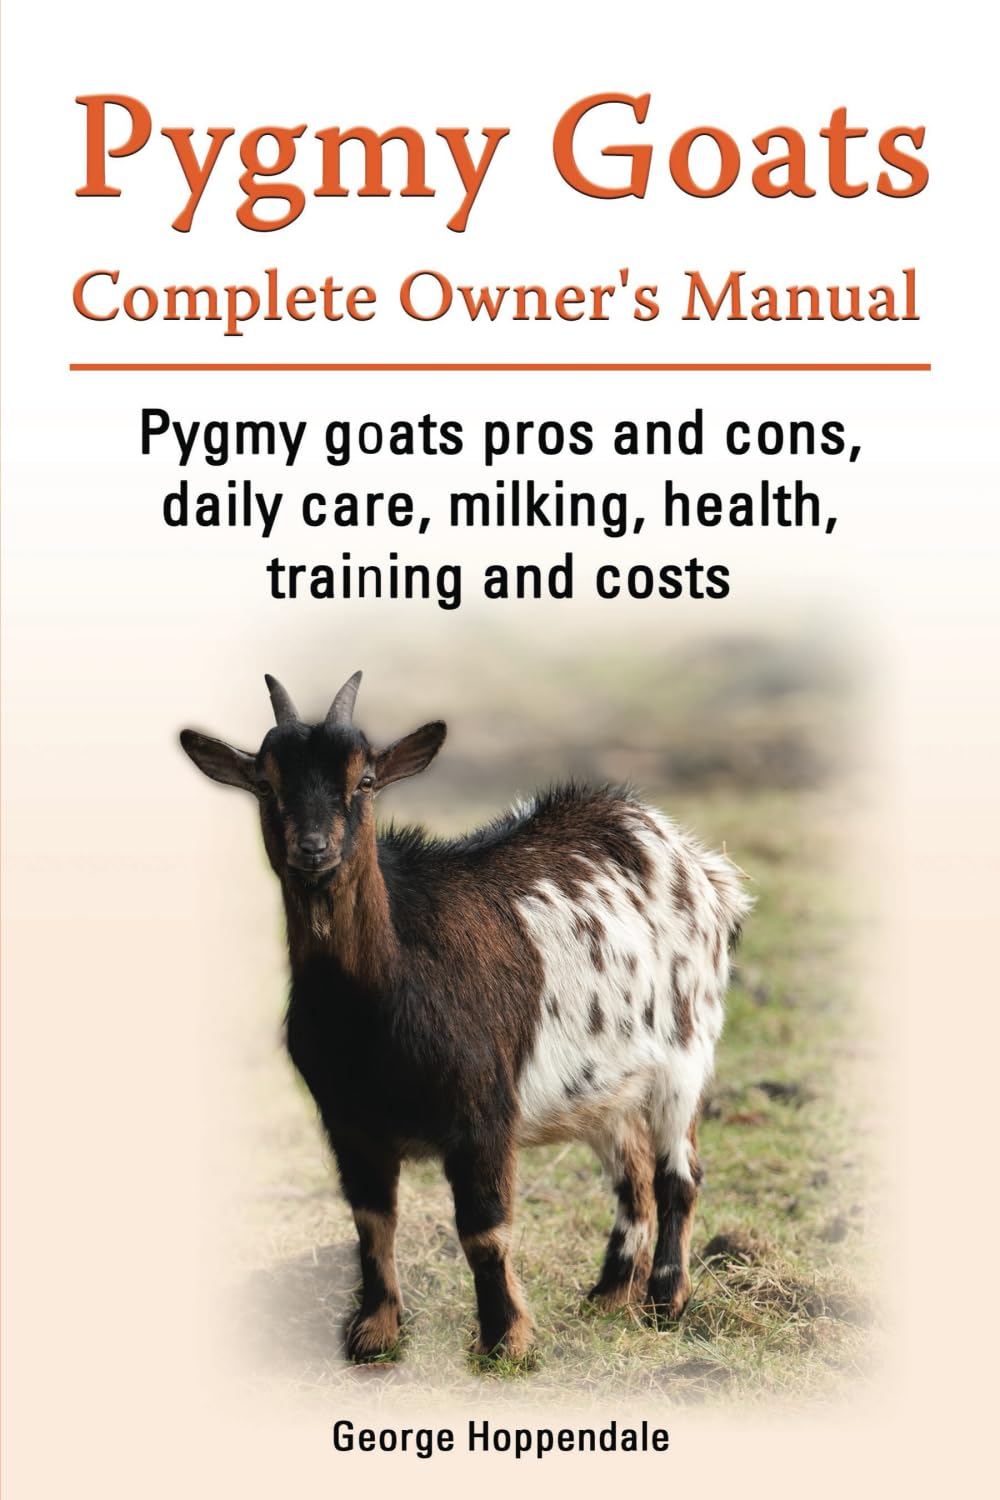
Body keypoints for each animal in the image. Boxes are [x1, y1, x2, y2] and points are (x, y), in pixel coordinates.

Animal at [181, 672, 751, 1361]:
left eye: (365, 780)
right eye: (265, 784)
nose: (313, 850)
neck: (371, 1008)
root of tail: (699, 863)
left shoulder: (483, 1113)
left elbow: (484, 1231)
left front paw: (505, 1340)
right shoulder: (347, 1123)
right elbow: (371, 1223)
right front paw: (373, 1333)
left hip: (684, 1050)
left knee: (678, 1174)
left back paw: (665, 1301)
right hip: (602, 1085)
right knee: (633, 1176)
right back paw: (608, 1295)